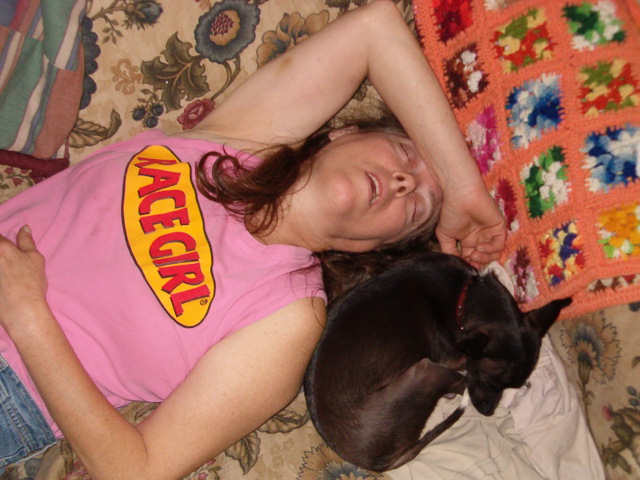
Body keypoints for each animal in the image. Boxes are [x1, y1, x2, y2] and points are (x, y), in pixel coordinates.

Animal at [304, 252, 571, 472]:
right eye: (488, 382)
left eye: (505, 386)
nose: (487, 413)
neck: (465, 295)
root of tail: (378, 463)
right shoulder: (451, 358)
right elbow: (465, 372)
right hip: (425, 370)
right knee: (456, 384)